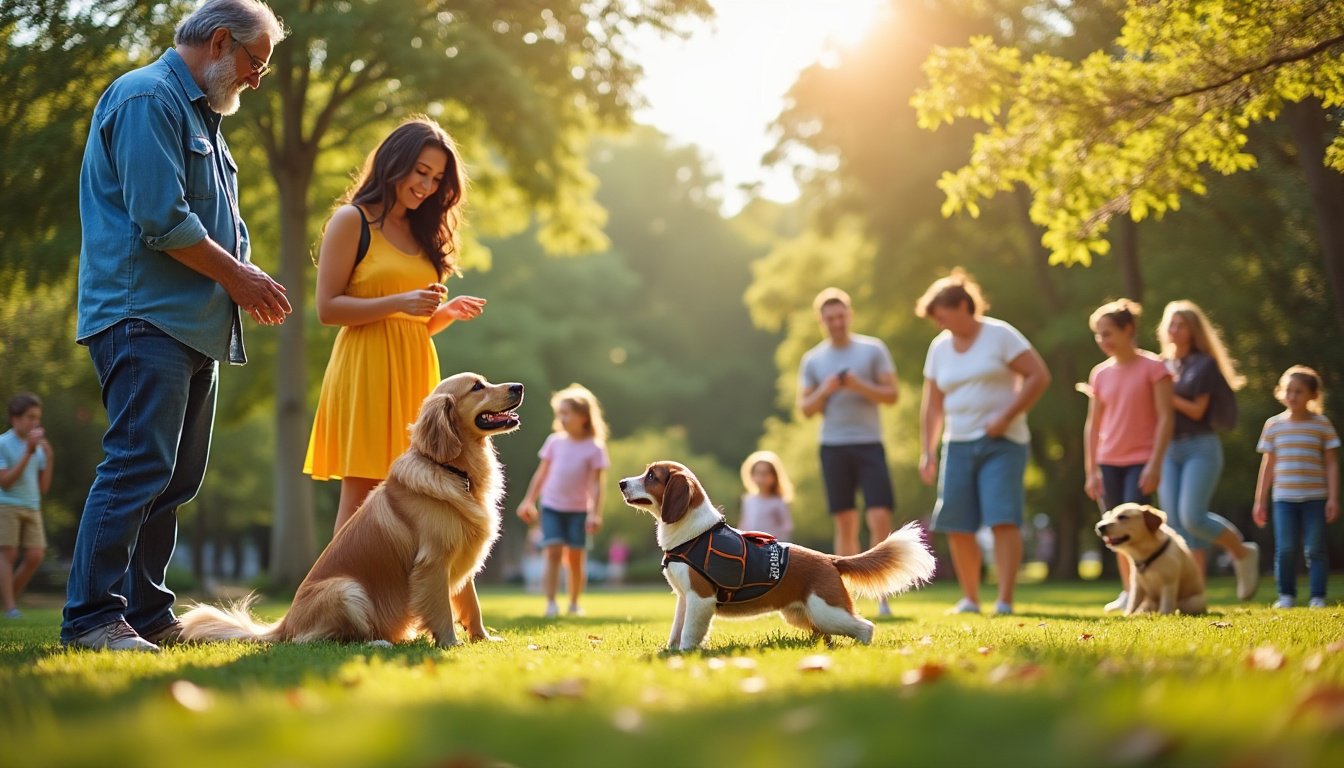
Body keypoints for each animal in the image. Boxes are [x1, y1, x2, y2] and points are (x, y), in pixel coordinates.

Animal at [174, 376, 518, 645]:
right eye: (477, 387)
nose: (519, 386)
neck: (452, 470)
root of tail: (284, 624)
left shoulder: (462, 557)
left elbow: (472, 604)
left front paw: (482, 638)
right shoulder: (432, 562)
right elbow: (442, 611)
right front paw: (450, 644)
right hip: (347, 590)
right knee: (330, 638)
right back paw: (379, 643)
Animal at [618, 462, 935, 648]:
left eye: (651, 476)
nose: (621, 482)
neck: (692, 534)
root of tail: (830, 559)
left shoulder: (700, 598)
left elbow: (689, 633)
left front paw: (685, 655)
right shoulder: (684, 598)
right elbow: (676, 629)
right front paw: (669, 653)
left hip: (828, 610)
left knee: (864, 627)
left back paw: (861, 647)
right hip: (803, 615)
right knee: (826, 634)